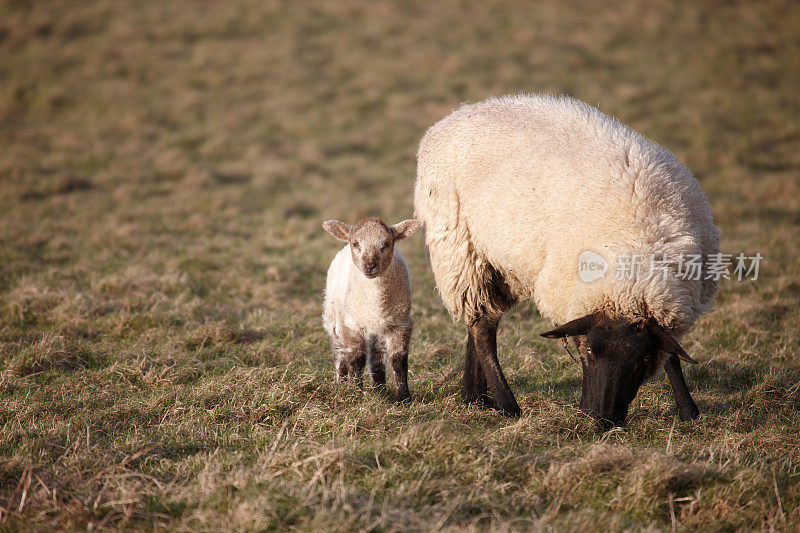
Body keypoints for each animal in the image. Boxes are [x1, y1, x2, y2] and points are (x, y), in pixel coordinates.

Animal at [322, 216, 422, 400]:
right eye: (356, 243)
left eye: (387, 244)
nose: (370, 266)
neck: (376, 302)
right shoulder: (352, 324)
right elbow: (356, 359)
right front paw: (355, 393)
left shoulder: (400, 324)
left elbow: (398, 360)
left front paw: (403, 397)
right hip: (334, 315)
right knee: (340, 353)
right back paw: (341, 382)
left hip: (379, 328)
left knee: (377, 357)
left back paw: (379, 388)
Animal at [416, 93, 720, 428]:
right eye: (589, 353)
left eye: (642, 360)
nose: (603, 420)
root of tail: (458, 114)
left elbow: (672, 356)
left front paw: (689, 412)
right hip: (461, 250)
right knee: (482, 330)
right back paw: (507, 405)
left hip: (499, 263)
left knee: (482, 320)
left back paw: (476, 397)